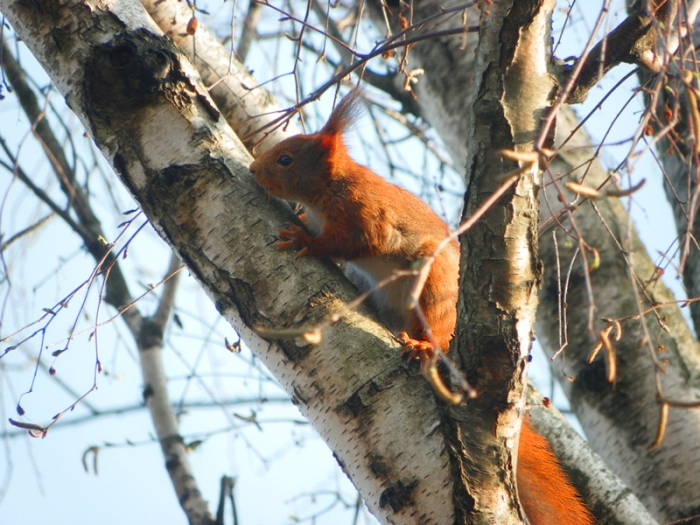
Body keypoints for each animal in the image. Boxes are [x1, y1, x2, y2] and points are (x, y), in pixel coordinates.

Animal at [249, 90, 594, 525]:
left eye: (286, 159)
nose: (253, 169)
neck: (331, 185)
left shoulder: (366, 214)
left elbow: (355, 242)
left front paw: (305, 241)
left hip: (432, 288)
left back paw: (423, 345)